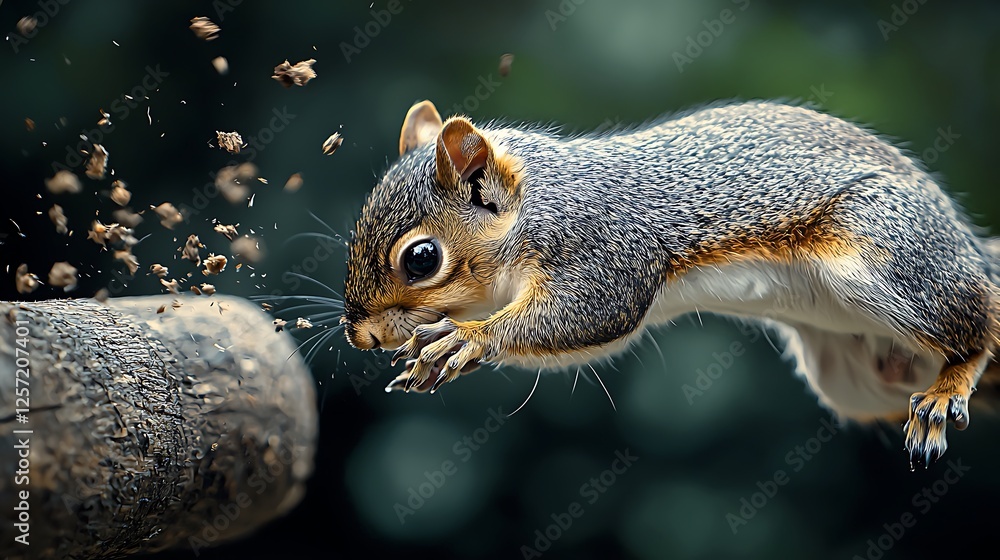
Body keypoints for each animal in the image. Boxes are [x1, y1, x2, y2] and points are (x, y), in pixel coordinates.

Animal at [341, 99, 1000, 468]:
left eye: (421, 259)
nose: (359, 337)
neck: (535, 204)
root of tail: (969, 248)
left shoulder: (606, 250)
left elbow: (591, 312)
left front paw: (471, 337)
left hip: (887, 258)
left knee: (980, 322)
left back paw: (950, 385)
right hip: (853, 376)